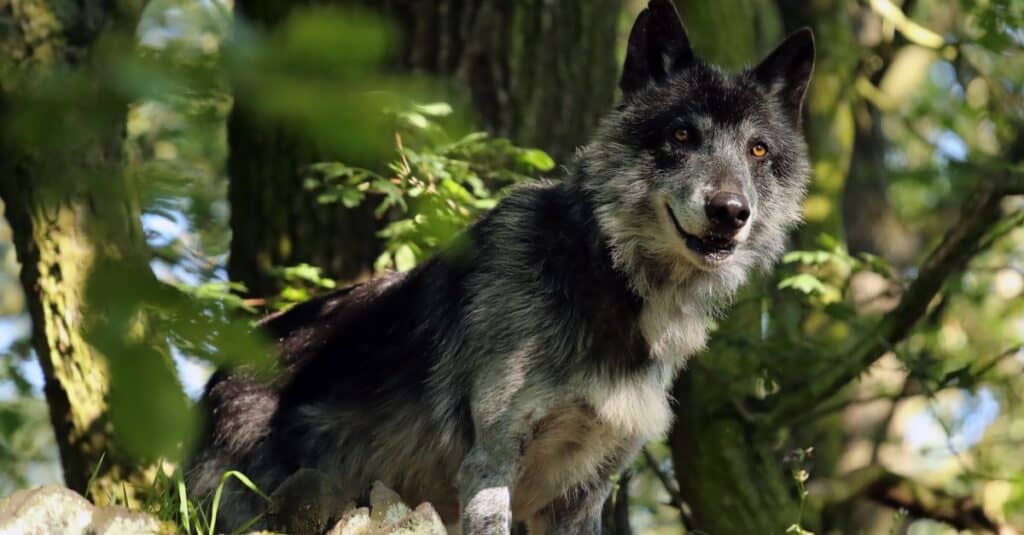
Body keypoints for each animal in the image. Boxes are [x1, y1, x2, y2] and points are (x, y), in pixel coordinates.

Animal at [186, 1, 815, 533]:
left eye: (758, 150)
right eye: (682, 134)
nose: (730, 212)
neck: (598, 273)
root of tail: (217, 378)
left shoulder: (584, 494)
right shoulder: (491, 464)